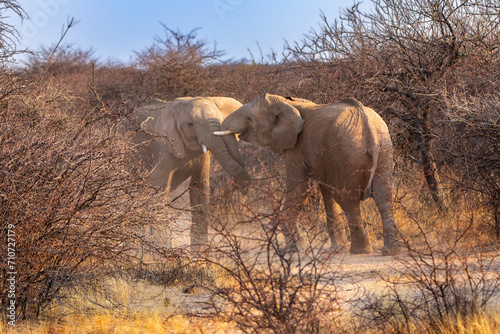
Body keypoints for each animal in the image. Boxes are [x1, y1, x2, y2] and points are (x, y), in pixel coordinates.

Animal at [131, 95, 252, 249]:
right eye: (190, 124)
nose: (241, 186)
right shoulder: (164, 147)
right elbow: (159, 191)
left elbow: (200, 189)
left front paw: (200, 252)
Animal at [216, 92, 402, 254]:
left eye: (249, 118)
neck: (287, 101)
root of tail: (368, 127)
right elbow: (326, 192)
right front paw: (335, 249)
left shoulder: (296, 146)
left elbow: (299, 186)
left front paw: (292, 250)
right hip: (383, 148)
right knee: (383, 197)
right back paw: (391, 251)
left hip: (349, 153)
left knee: (348, 200)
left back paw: (360, 251)